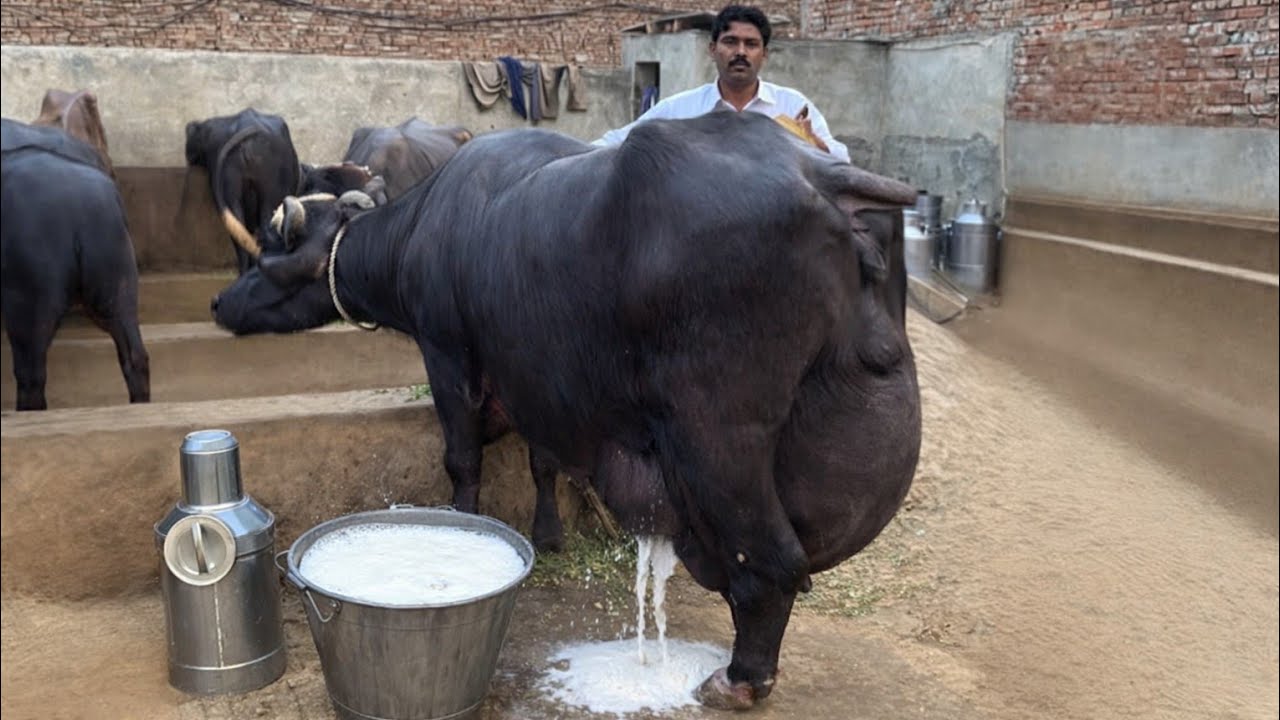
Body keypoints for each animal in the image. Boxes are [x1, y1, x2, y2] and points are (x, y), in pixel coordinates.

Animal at [212, 112, 920, 709]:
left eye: (272, 256)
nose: (220, 303)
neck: (428, 226)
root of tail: (821, 176)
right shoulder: (534, 377)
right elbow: (542, 461)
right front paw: (547, 533)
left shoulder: (448, 353)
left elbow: (461, 458)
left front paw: (461, 520)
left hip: (720, 435)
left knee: (771, 563)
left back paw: (738, 679)